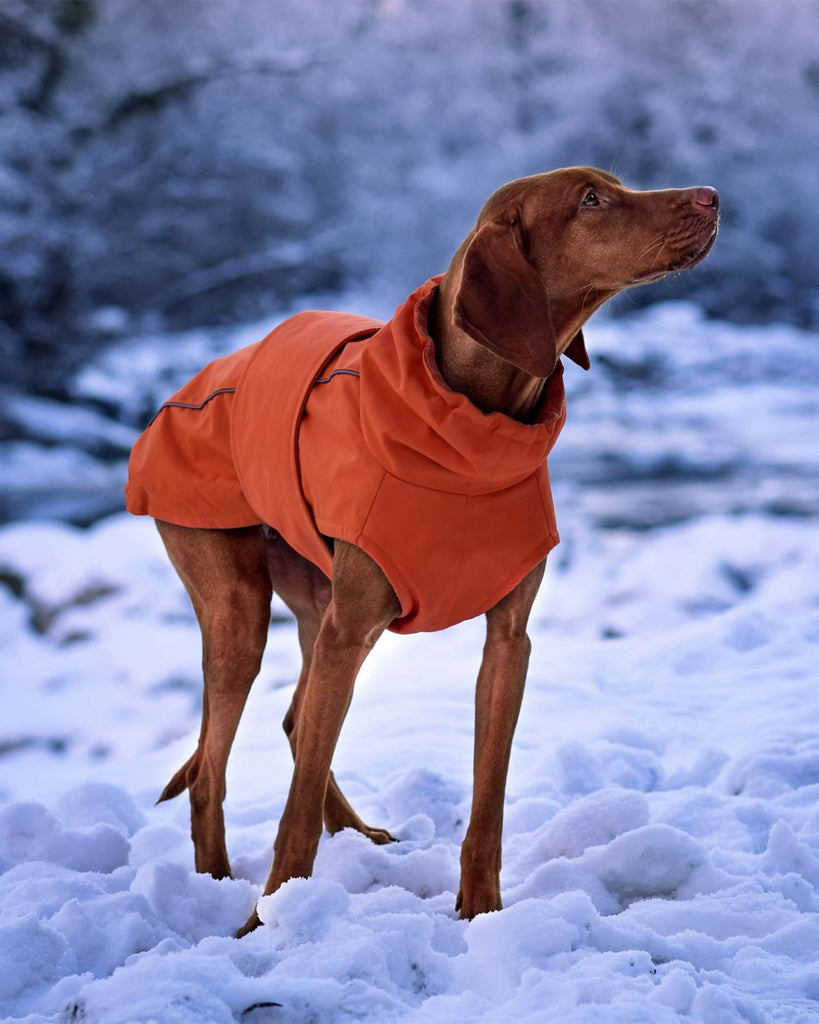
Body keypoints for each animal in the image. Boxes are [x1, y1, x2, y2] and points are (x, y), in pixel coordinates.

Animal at [124, 161, 720, 937]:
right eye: (590, 200)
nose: (712, 197)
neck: (468, 427)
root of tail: (186, 388)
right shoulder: (349, 630)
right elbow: (292, 816)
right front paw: (268, 926)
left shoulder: (508, 641)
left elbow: (488, 800)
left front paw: (481, 915)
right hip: (241, 611)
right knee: (211, 768)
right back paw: (226, 890)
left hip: (322, 607)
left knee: (294, 721)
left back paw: (357, 838)